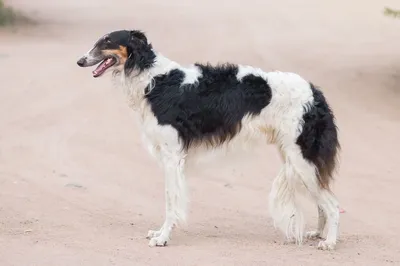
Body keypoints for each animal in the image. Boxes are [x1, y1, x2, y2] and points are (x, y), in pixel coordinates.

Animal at [76, 30, 340, 250]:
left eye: (106, 41)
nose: (80, 61)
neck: (153, 78)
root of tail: (315, 93)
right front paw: (159, 233)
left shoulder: (172, 156)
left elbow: (171, 201)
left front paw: (163, 238)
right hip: (298, 160)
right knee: (322, 202)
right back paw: (318, 233)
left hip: (302, 159)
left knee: (333, 204)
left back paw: (329, 242)